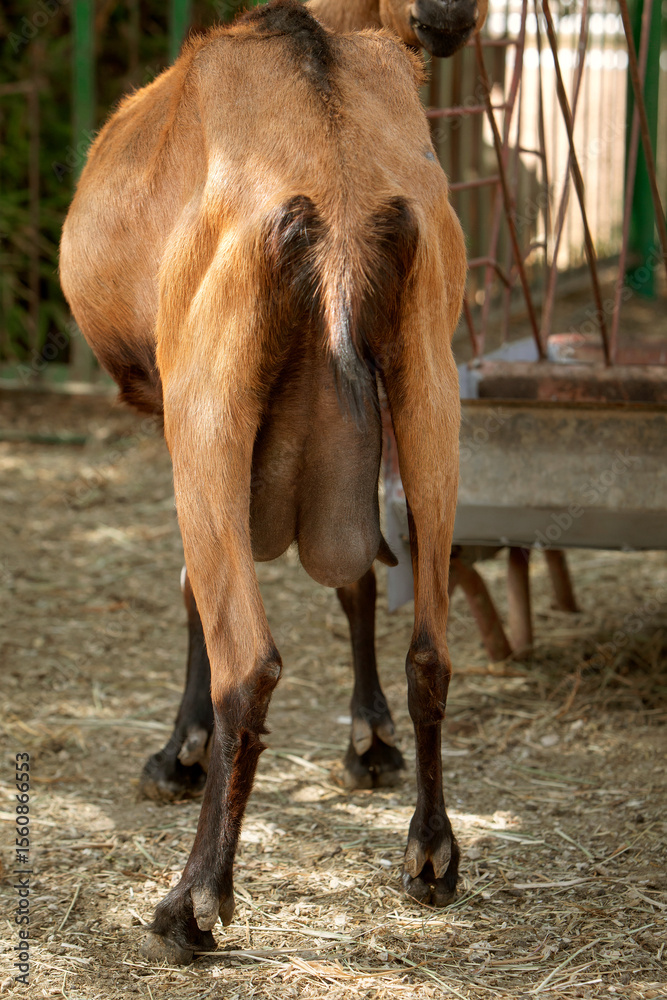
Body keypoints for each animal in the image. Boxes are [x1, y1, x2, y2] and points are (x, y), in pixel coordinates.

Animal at [60, 0, 467, 963]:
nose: (454, 16)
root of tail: (341, 204)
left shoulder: (169, 401)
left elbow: (188, 588)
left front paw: (178, 754)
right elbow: (357, 573)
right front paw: (368, 741)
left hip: (206, 401)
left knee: (247, 656)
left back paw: (192, 903)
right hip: (429, 382)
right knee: (429, 643)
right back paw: (430, 857)